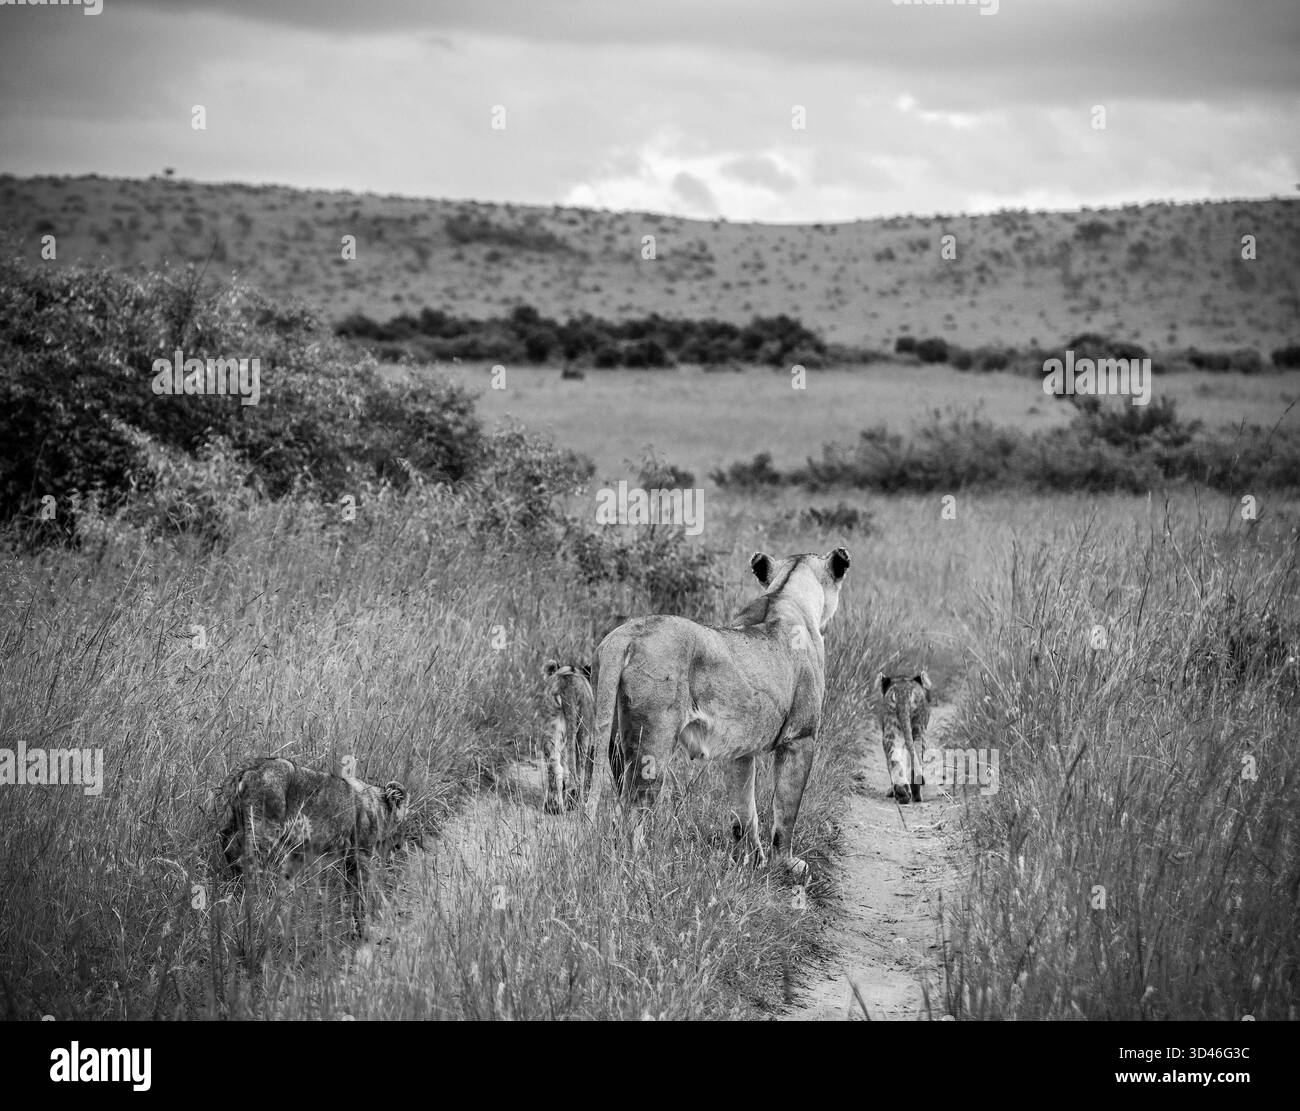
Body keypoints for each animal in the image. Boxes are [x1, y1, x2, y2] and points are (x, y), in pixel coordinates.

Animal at [216, 756, 409, 936]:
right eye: (404, 822)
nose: (399, 846)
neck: (377, 805)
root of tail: (247, 768)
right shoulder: (360, 853)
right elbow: (360, 890)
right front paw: (362, 927)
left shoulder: (300, 851)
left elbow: (288, 878)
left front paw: (280, 909)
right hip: (263, 828)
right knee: (248, 862)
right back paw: (254, 898)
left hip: (232, 824)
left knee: (229, 850)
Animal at [541, 660, 595, 813]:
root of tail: (567, 685)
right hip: (583, 733)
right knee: (579, 771)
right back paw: (574, 802)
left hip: (552, 729)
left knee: (554, 766)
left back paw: (554, 807)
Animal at [593, 548, 851, 876]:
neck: (786, 592)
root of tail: (627, 635)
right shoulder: (801, 738)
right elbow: (786, 810)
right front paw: (787, 865)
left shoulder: (738, 751)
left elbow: (744, 811)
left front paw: (750, 862)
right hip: (653, 746)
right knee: (629, 812)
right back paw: (640, 868)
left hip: (615, 741)